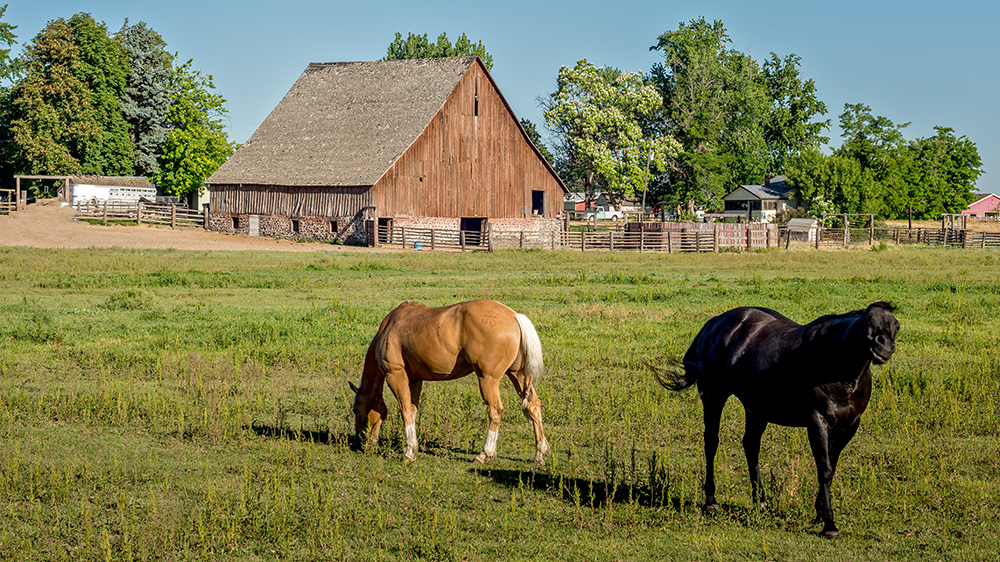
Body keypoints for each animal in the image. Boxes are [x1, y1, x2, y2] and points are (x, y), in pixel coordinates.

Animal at [350, 300, 556, 462]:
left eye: (355, 410)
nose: (362, 442)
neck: (389, 328)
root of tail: (514, 316)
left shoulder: (396, 375)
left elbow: (406, 411)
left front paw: (409, 452)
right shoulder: (414, 380)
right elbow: (413, 411)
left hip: (488, 379)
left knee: (495, 410)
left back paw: (485, 453)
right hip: (518, 375)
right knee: (533, 405)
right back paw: (540, 452)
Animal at [652, 302, 904, 540]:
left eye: (896, 326)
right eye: (867, 322)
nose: (884, 347)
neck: (835, 364)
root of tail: (714, 322)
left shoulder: (849, 425)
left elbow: (831, 466)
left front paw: (820, 511)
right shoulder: (817, 422)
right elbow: (824, 469)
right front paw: (829, 525)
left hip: (756, 409)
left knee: (750, 445)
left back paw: (760, 500)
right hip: (714, 397)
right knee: (711, 443)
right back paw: (711, 501)